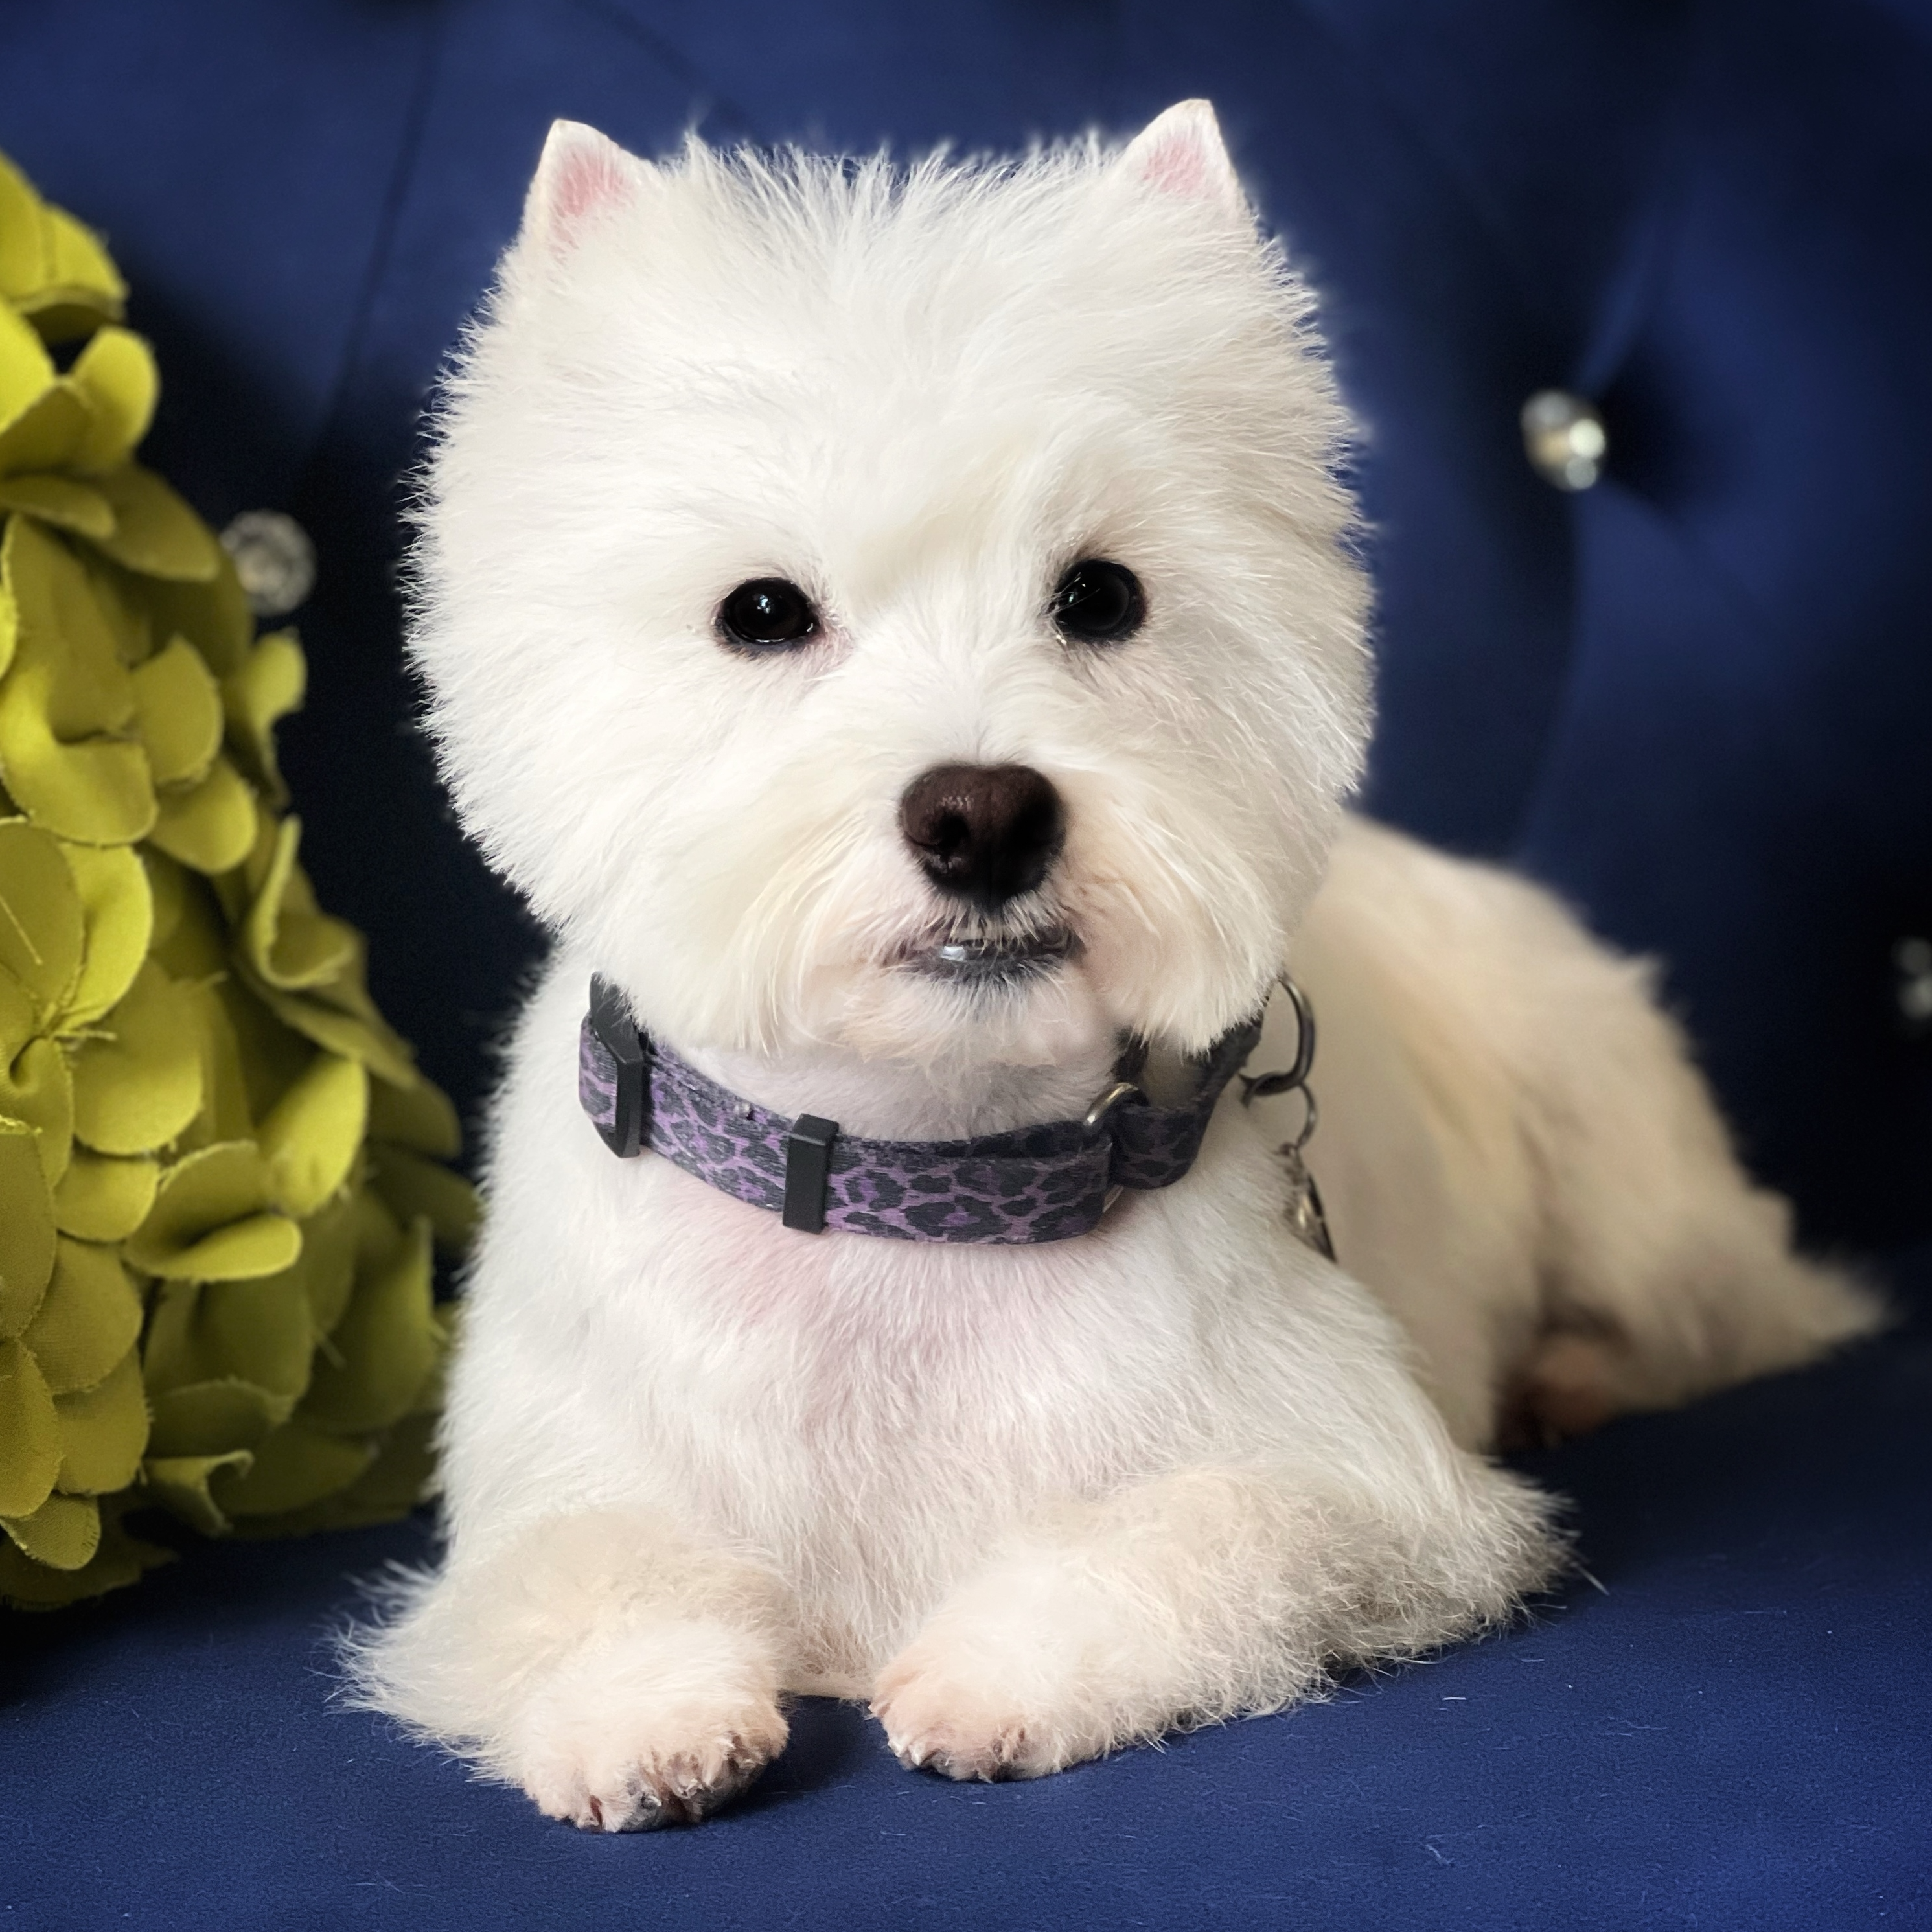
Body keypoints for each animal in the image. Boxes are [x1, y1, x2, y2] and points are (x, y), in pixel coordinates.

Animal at [355, 106, 1878, 1824]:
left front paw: (991, 1675)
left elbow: (1203, 1532)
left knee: (1736, 1308)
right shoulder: (551, 1481)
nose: (982, 814)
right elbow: (572, 1570)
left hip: (1628, 1188)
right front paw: (647, 1716)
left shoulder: (1370, 1482)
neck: (919, 1176)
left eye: (1100, 595)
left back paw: (1579, 1372)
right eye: (761, 611)